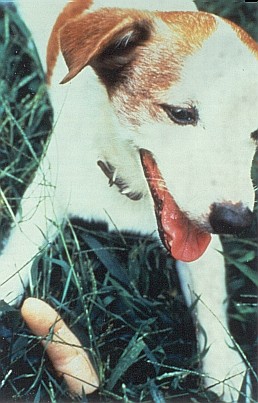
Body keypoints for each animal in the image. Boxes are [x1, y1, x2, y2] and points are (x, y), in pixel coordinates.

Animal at [0, 0, 256, 400]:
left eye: (256, 133)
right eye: (180, 114)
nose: (236, 221)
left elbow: (211, 297)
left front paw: (223, 365)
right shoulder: (49, 189)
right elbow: (18, 252)